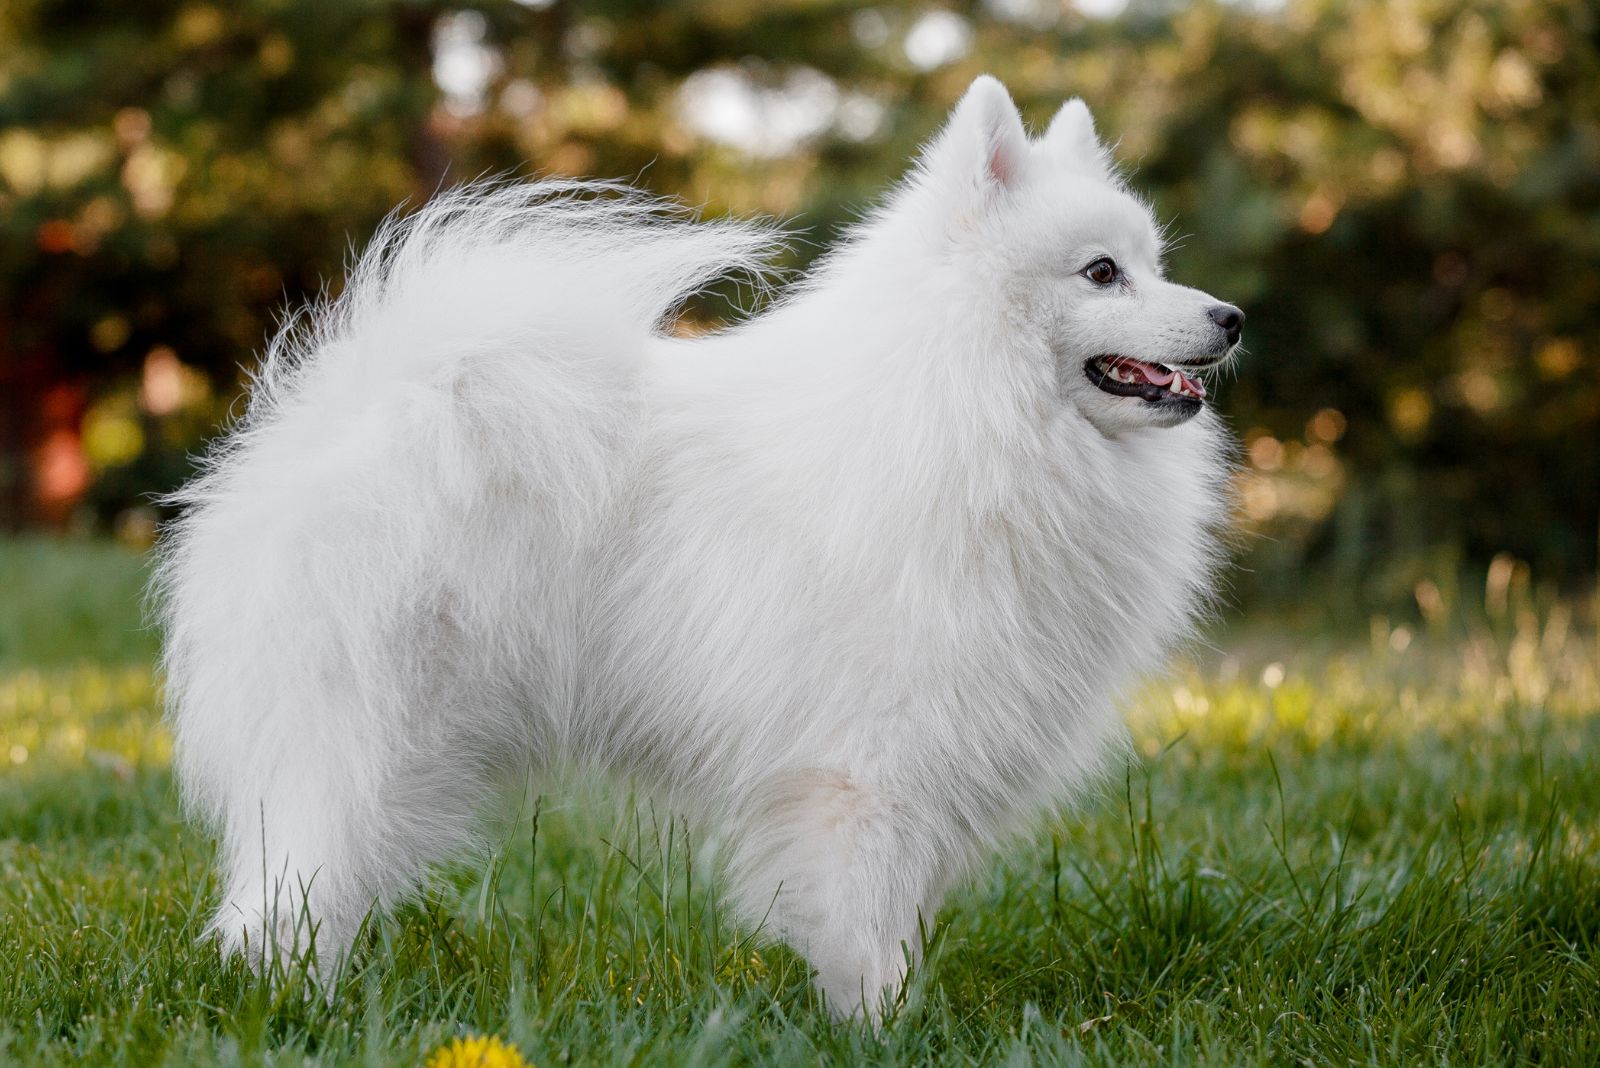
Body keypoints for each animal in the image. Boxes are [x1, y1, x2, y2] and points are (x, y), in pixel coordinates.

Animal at [152, 77, 1235, 1016]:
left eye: (1154, 260)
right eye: (1102, 272)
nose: (1230, 315)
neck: (963, 408)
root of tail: (362, 405)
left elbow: (902, 918)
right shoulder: (866, 766)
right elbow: (864, 921)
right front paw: (883, 1029)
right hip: (372, 736)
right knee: (289, 891)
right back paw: (291, 1005)